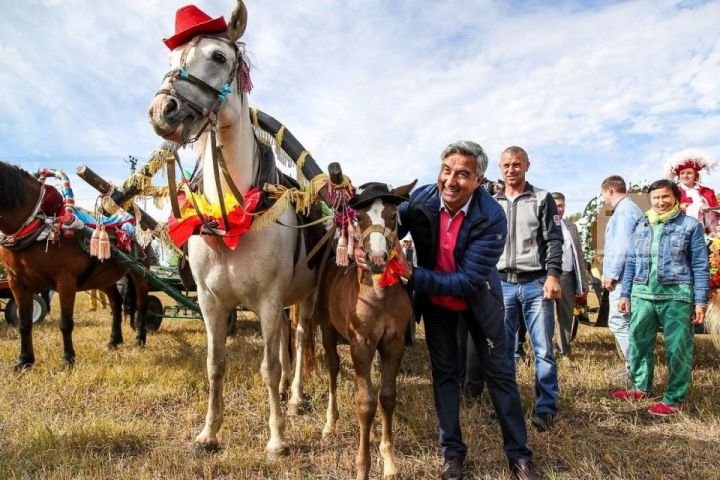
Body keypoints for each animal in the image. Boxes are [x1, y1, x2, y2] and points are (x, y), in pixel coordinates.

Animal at [0, 159, 152, 370]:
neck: (39, 222)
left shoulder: (65, 280)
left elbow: (65, 323)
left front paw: (68, 359)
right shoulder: (17, 283)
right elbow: (24, 323)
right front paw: (24, 360)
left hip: (140, 273)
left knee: (141, 304)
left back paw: (139, 339)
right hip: (103, 278)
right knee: (116, 303)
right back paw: (114, 340)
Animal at [148, 0, 316, 458]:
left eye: (219, 57)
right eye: (171, 60)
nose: (163, 111)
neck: (231, 221)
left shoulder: (269, 301)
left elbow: (269, 365)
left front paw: (276, 438)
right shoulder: (211, 302)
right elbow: (215, 363)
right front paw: (209, 432)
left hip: (306, 296)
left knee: (300, 338)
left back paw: (296, 396)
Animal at [316, 181, 416, 480]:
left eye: (393, 216)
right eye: (359, 218)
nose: (377, 259)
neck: (379, 297)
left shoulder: (393, 343)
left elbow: (386, 397)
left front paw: (389, 460)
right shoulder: (359, 343)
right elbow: (365, 403)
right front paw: (363, 466)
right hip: (327, 329)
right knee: (333, 370)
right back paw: (330, 424)